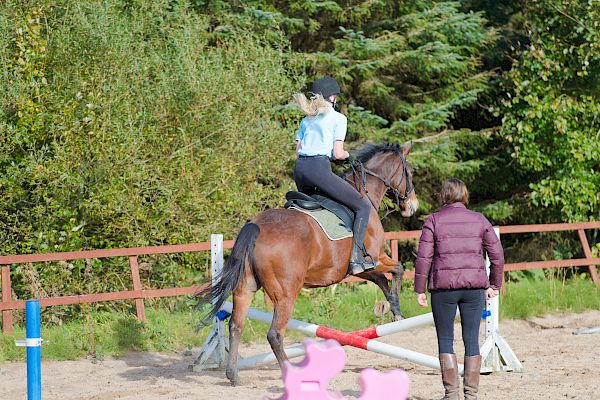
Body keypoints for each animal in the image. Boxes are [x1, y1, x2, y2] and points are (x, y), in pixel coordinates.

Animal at [197, 141, 418, 384]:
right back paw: (291, 373)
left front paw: (388, 307)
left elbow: (382, 280)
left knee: (236, 325)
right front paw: (396, 310)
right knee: (274, 334)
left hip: (246, 287)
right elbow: (398, 270)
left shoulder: (356, 268)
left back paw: (233, 374)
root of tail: (255, 227)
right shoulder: (376, 258)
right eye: (410, 171)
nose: (413, 205)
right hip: (286, 294)